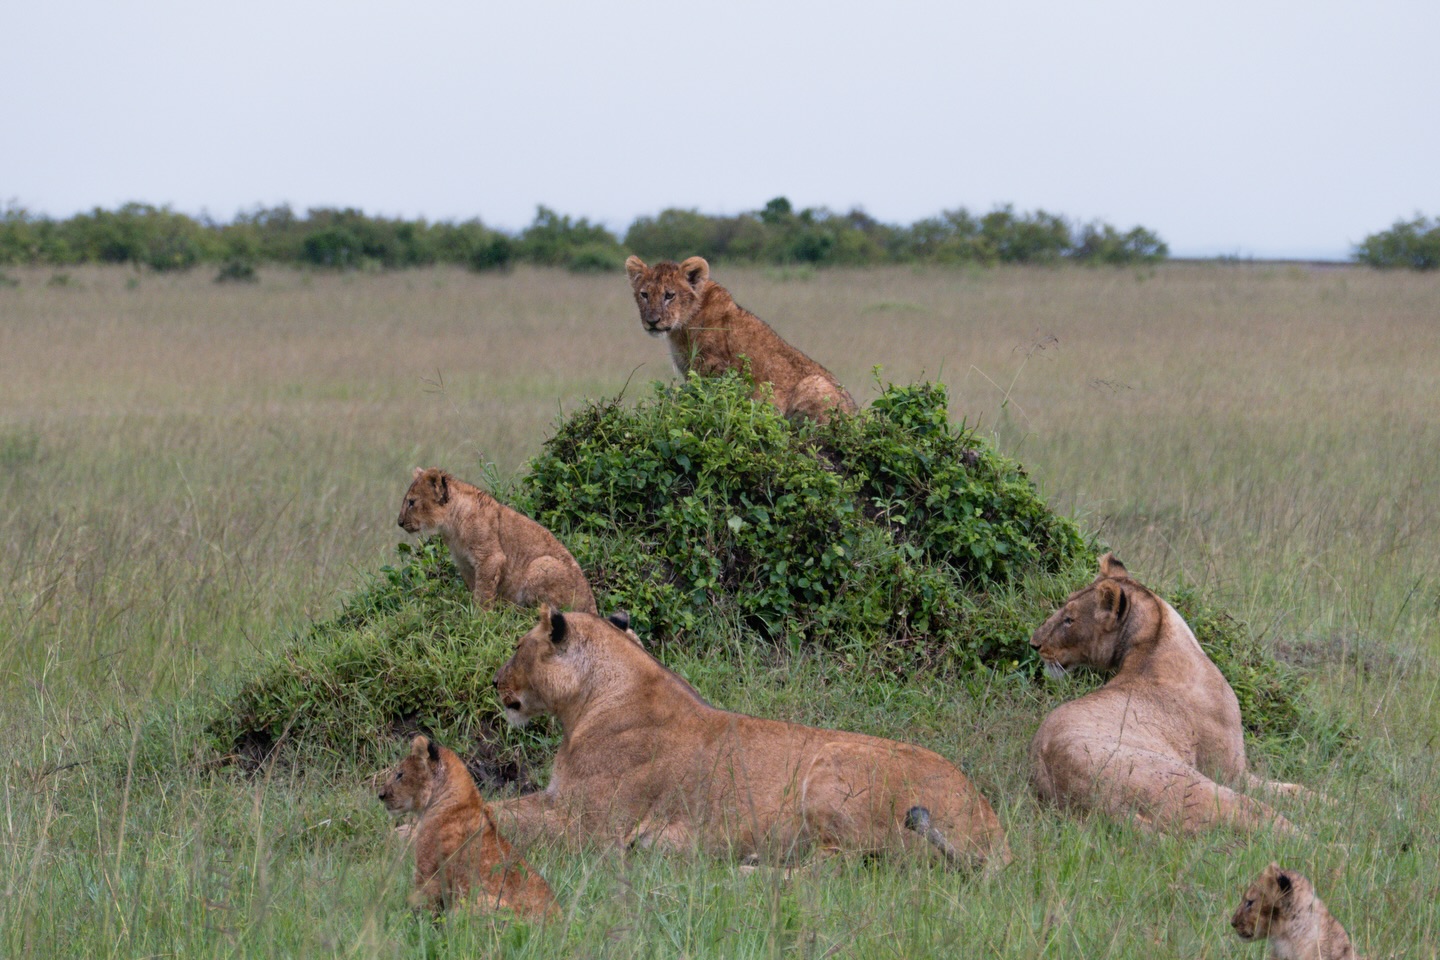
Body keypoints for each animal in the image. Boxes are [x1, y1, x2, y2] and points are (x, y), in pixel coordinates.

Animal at [397, 467, 596, 614]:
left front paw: (480, 618)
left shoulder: (490, 557)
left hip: (542, 564)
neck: (451, 524)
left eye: (411, 502)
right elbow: (474, 587)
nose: (399, 522)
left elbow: (484, 592)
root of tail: (593, 608)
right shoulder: (463, 562)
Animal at [490, 608, 1011, 872]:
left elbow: (504, 821)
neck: (589, 701)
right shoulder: (560, 800)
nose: (496, 682)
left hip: (832, 765)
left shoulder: (590, 829)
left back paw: (746, 868)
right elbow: (503, 807)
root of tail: (993, 828)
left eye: (517, 646)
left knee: (840, 867)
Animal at [625, 255, 858, 423]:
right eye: (645, 294)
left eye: (669, 295)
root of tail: (858, 417)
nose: (652, 321)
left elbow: (706, 400)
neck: (681, 328)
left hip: (815, 383)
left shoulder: (714, 368)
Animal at [1028, 553, 1313, 835]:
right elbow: (1291, 790)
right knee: (1259, 816)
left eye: (1069, 619)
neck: (1153, 639)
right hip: (1195, 782)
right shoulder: (1230, 772)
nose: (1034, 643)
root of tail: (1097, 801)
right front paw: (1322, 801)